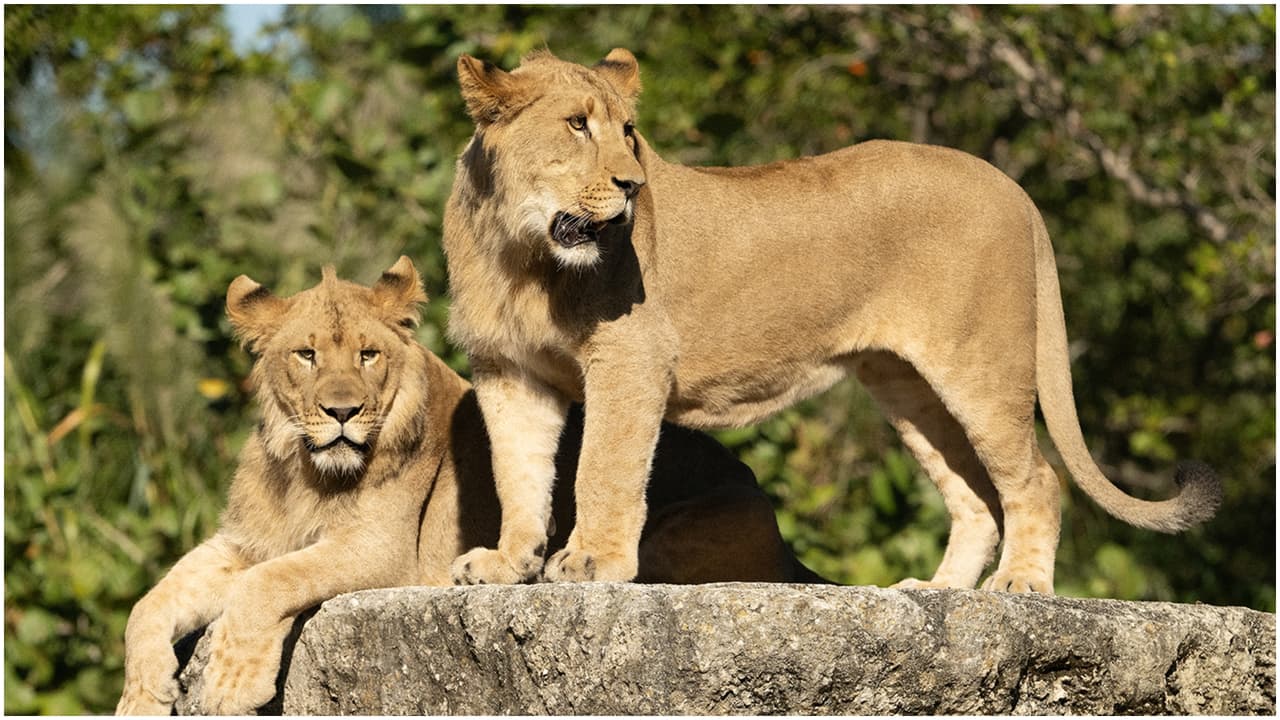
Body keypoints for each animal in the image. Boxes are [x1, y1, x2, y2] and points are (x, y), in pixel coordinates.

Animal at [115, 257, 822, 716]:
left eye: (368, 354)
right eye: (306, 355)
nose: (342, 412)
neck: (306, 472)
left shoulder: (380, 553)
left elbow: (269, 583)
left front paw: (232, 680)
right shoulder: (244, 542)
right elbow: (149, 603)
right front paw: (142, 697)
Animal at [441, 48, 1221, 593]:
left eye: (629, 133)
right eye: (577, 124)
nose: (633, 186)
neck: (521, 253)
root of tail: (1010, 185)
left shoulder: (631, 357)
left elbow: (603, 467)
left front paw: (591, 562)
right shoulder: (509, 371)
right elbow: (518, 474)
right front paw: (507, 564)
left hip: (981, 365)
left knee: (1036, 481)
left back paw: (1021, 585)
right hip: (907, 386)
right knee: (974, 498)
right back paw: (936, 591)